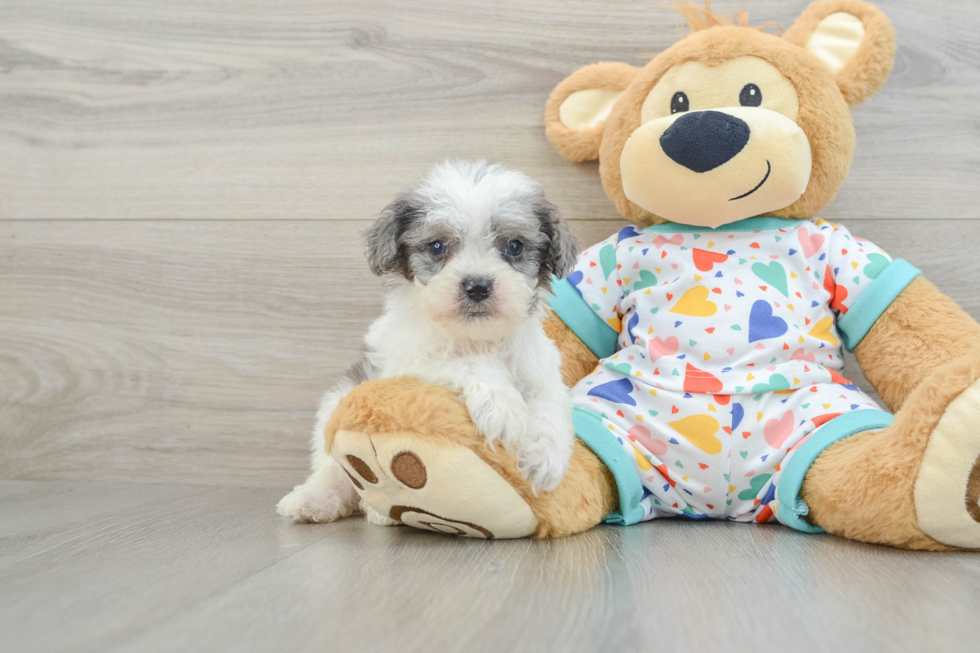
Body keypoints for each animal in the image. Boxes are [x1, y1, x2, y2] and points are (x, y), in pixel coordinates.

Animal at [276, 160, 580, 524]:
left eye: (515, 246)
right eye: (437, 246)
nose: (478, 286)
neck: (477, 338)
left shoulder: (540, 373)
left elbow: (550, 407)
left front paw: (545, 458)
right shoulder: (408, 362)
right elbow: (468, 362)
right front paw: (503, 406)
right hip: (335, 405)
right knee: (333, 471)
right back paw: (319, 500)